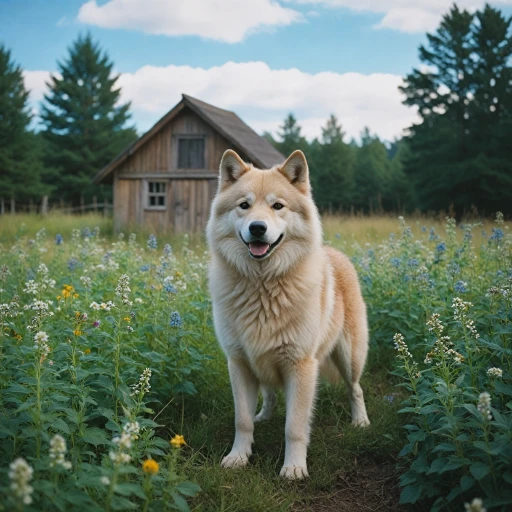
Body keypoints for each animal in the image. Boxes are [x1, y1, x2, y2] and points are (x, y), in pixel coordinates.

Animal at [206, 149, 370, 480]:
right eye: (244, 205)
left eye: (278, 206)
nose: (257, 228)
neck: (262, 286)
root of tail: (336, 253)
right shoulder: (239, 363)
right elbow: (242, 420)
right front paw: (238, 457)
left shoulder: (301, 365)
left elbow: (294, 426)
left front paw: (294, 468)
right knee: (269, 394)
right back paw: (264, 416)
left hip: (350, 357)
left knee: (356, 389)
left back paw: (360, 421)